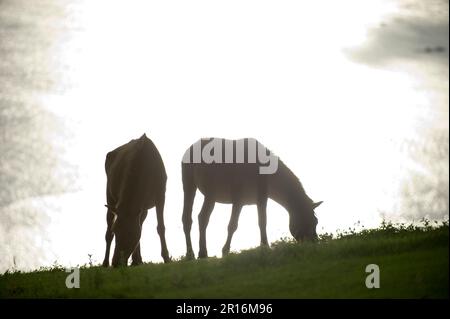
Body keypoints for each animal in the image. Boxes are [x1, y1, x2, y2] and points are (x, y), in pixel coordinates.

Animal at [101, 134, 170, 268]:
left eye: (129, 233)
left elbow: (160, 227)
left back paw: (137, 260)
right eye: (116, 230)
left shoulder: (160, 195)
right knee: (107, 232)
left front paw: (166, 257)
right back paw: (105, 262)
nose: (115, 262)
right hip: (109, 198)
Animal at [181, 138, 322, 260]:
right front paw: (226, 251)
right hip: (199, 190)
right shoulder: (238, 200)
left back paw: (196, 254)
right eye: (310, 221)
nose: (314, 242)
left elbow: (262, 222)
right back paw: (196, 253)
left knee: (195, 219)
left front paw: (265, 246)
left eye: (316, 222)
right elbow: (233, 225)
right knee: (197, 219)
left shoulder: (260, 199)